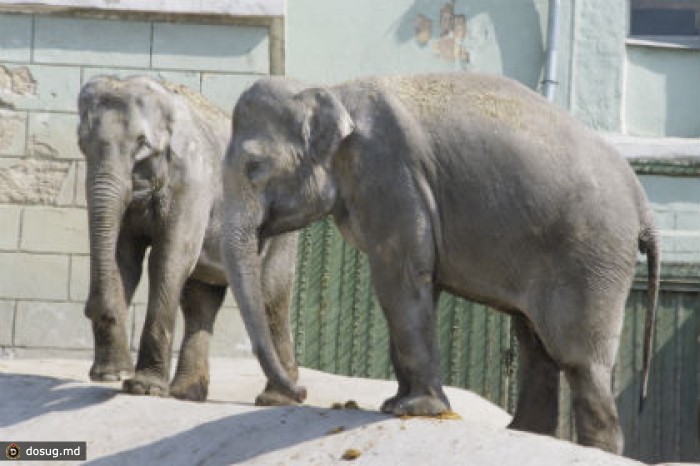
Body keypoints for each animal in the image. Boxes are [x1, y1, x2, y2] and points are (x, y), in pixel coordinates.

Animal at [78, 76, 300, 404]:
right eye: (82, 144)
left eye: (142, 144)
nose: (94, 311)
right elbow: (124, 260)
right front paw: (110, 375)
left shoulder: (193, 181)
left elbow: (169, 257)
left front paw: (144, 389)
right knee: (200, 300)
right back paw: (186, 393)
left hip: (283, 229)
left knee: (271, 293)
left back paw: (276, 399)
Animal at [221, 73, 660, 456]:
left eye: (255, 168)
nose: (300, 393)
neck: (333, 90)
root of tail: (643, 204)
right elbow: (418, 284)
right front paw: (394, 405)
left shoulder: (390, 176)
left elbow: (399, 278)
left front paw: (415, 410)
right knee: (535, 343)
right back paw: (523, 432)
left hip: (591, 258)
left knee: (575, 357)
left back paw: (594, 449)